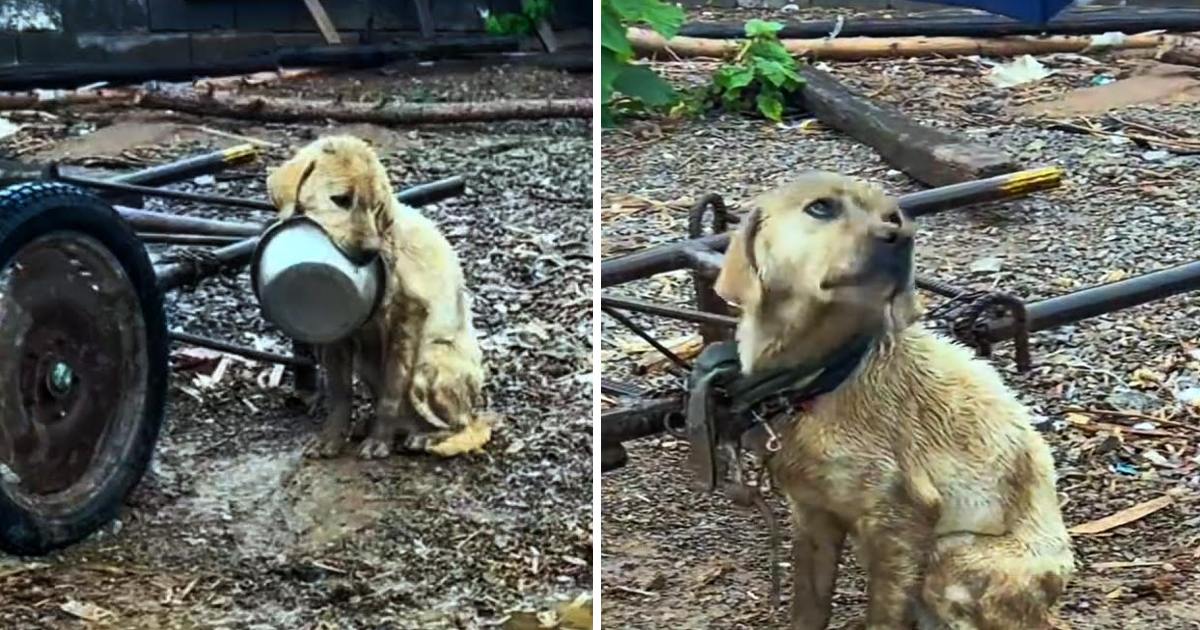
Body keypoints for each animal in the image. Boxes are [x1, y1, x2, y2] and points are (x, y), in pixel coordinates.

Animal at [266, 133, 482, 456]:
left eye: (378, 206)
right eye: (341, 199)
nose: (370, 252)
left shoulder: (408, 319)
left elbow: (393, 391)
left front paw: (379, 441)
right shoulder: (336, 336)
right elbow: (340, 393)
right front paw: (332, 437)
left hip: (429, 361)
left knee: (464, 424)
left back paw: (426, 437)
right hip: (367, 362)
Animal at [715, 171, 1075, 628]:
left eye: (893, 217)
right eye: (821, 207)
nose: (902, 236)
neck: (826, 376)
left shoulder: (900, 523)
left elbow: (883, 616)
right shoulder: (812, 515)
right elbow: (809, 607)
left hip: (951, 556)